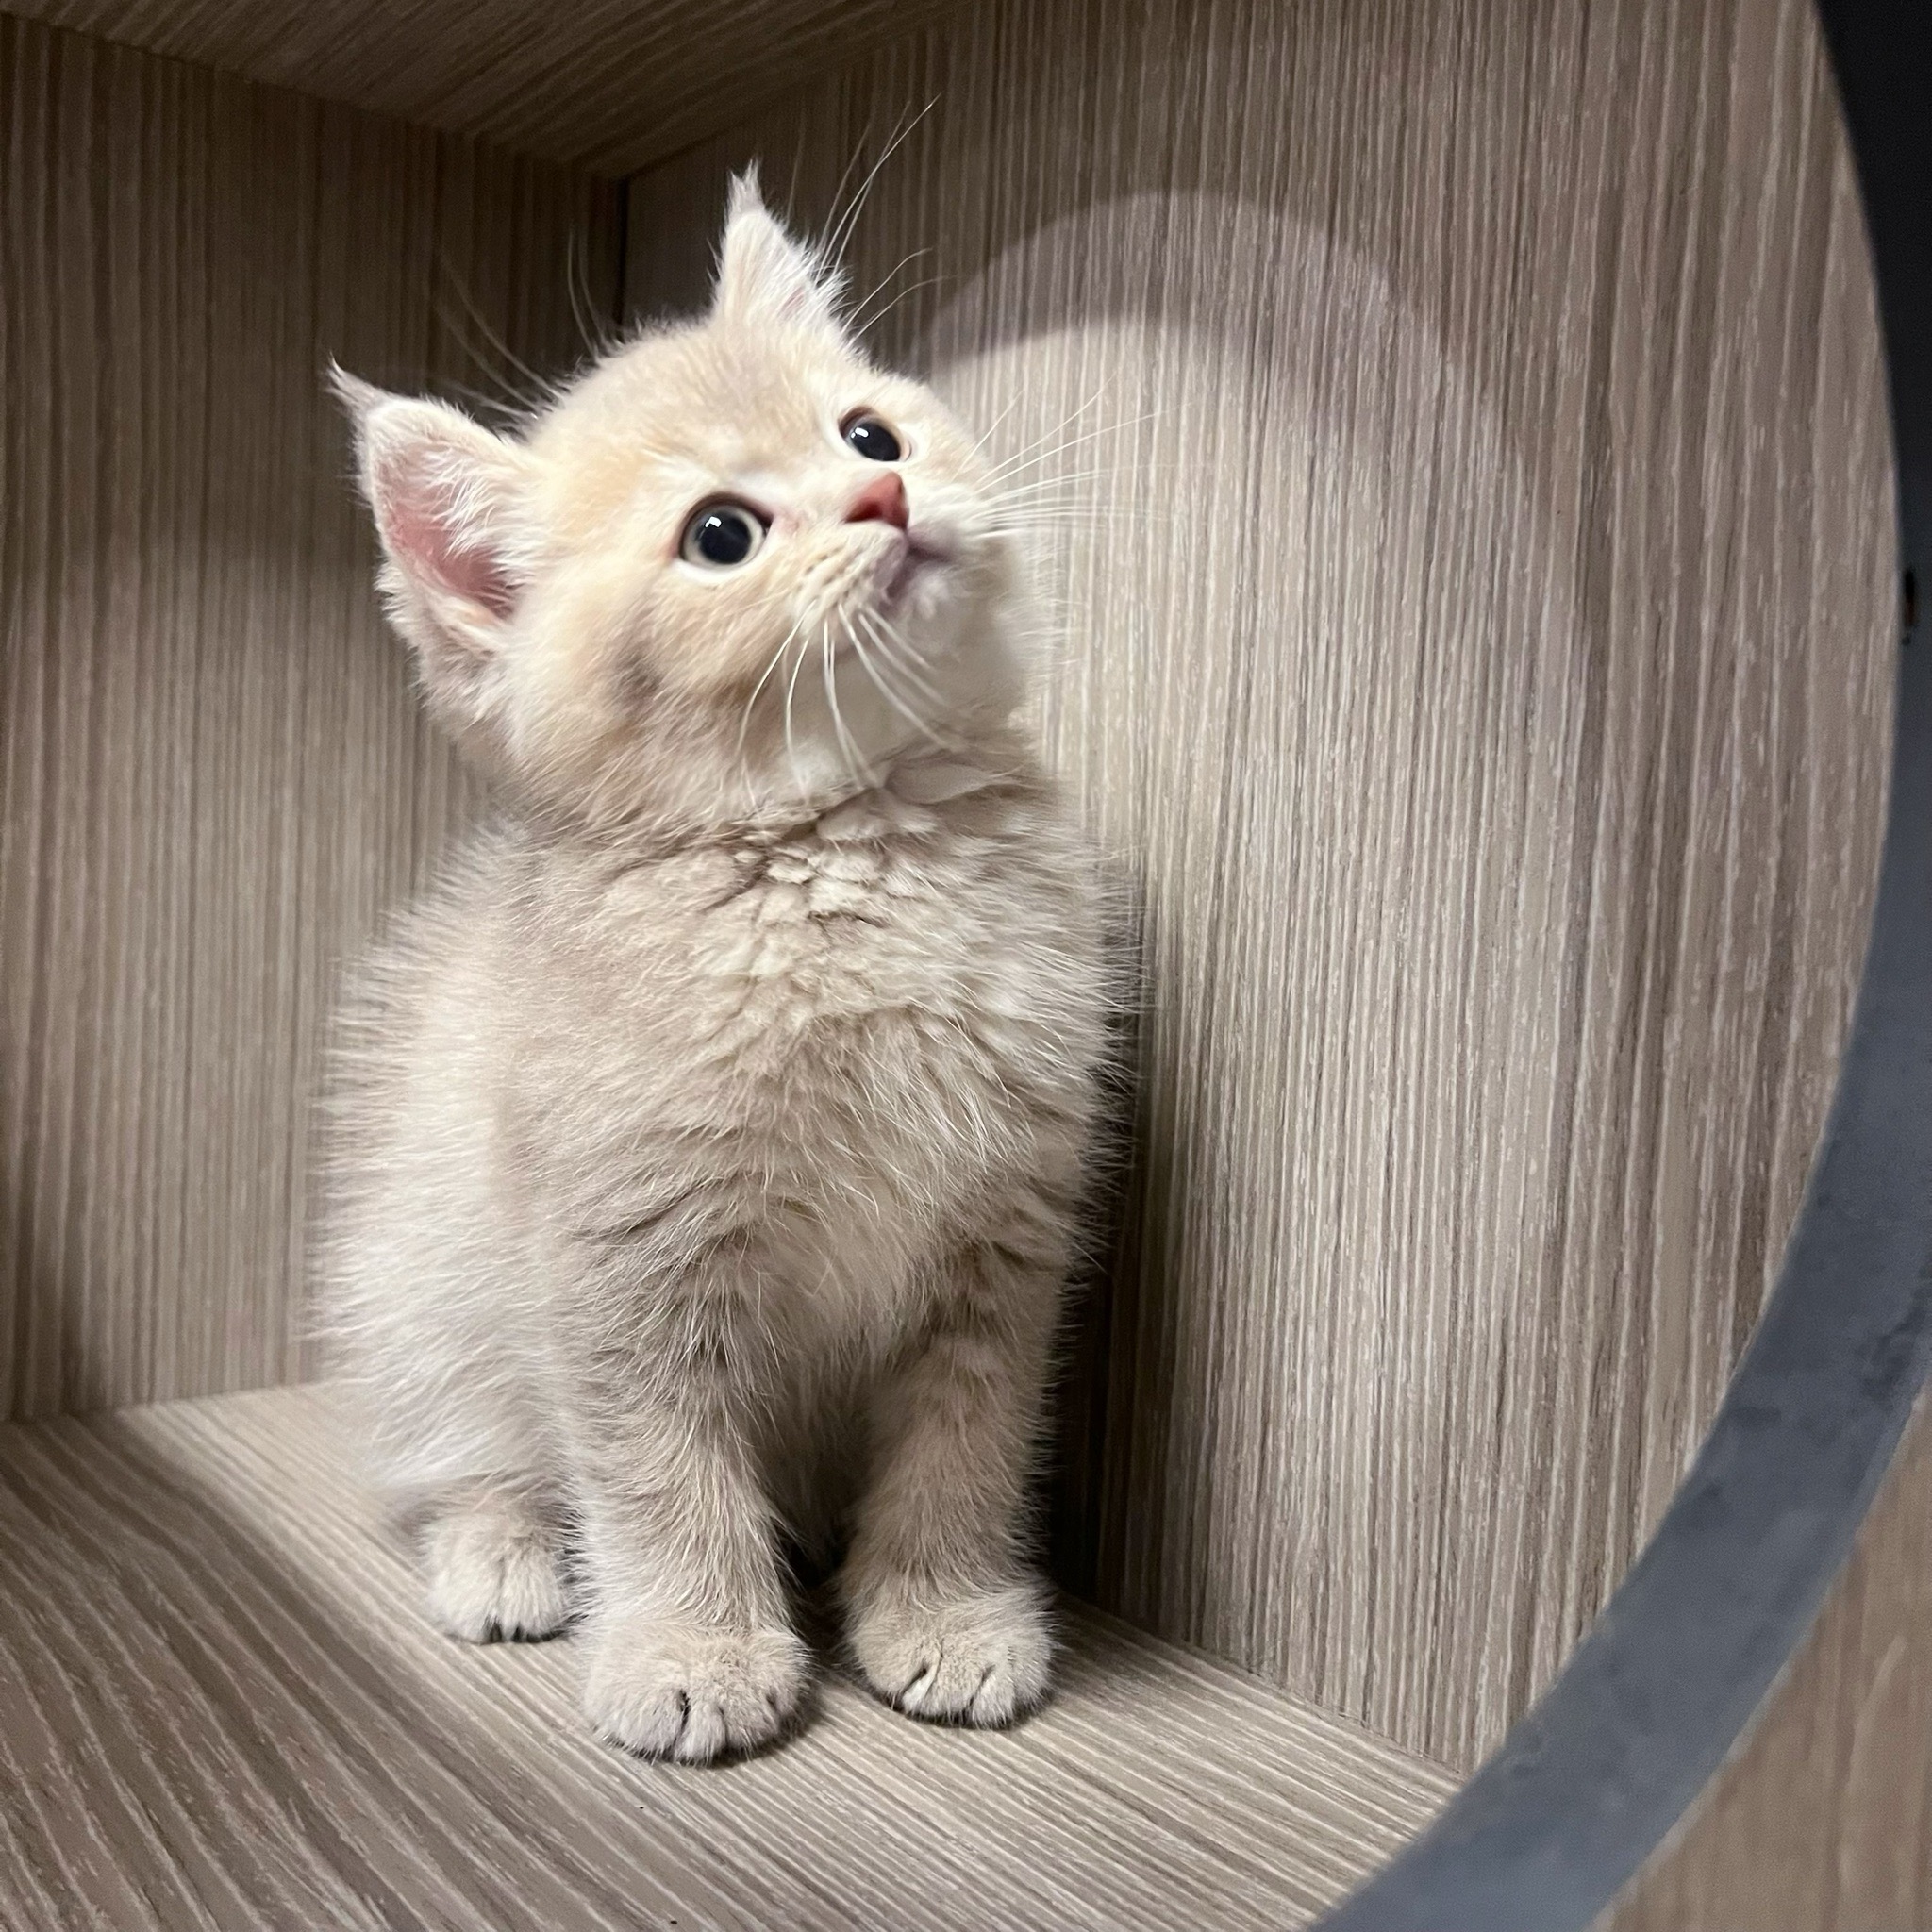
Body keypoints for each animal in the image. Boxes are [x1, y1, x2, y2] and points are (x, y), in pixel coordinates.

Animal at [320, 173, 1108, 1764]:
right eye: (722, 533)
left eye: (867, 434)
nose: (884, 499)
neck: (857, 864)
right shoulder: (620, 1258)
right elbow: (655, 1466)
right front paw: (693, 1648)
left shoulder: (1005, 1238)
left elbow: (969, 1439)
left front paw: (946, 1610)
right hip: (416, 1279)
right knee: (452, 1446)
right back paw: (501, 1547)